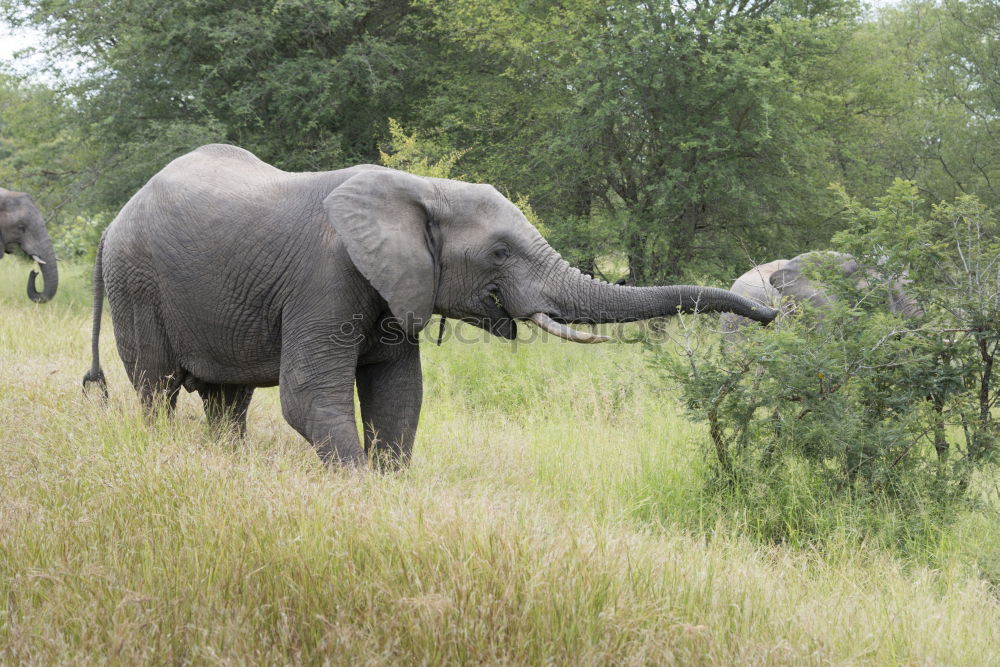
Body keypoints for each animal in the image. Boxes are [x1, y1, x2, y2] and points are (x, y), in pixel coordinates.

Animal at [82, 145, 776, 470]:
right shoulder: (324, 279)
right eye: (499, 252)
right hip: (136, 284)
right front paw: (361, 493)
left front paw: (392, 489)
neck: (422, 189)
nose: (772, 316)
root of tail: (111, 225)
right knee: (157, 388)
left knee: (228, 400)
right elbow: (309, 397)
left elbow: (400, 396)